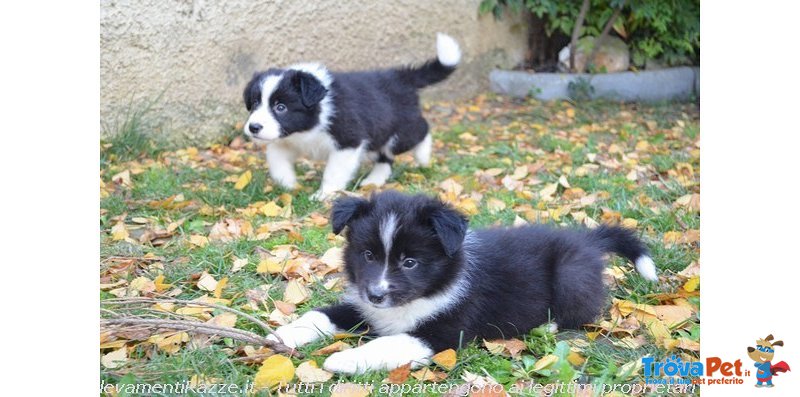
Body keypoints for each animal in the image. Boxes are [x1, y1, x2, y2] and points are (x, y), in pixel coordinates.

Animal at [241, 33, 460, 201]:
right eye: (255, 103)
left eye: (281, 107)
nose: (254, 127)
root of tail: (401, 77)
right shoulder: (285, 139)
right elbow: (276, 160)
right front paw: (288, 186)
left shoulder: (348, 141)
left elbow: (333, 172)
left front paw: (323, 195)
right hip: (377, 137)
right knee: (385, 157)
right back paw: (373, 180)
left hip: (398, 132)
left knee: (421, 130)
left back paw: (423, 158)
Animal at [268, 190, 656, 372]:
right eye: (368, 256)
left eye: (410, 262)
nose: (377, 294)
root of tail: (587, 241)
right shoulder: (365, 307)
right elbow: (322, 314)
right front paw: (283, 334)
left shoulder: (444, 332)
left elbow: (389, 344)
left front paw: (342, 360)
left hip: (571, 275)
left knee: (584, 310)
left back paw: (547, 325)